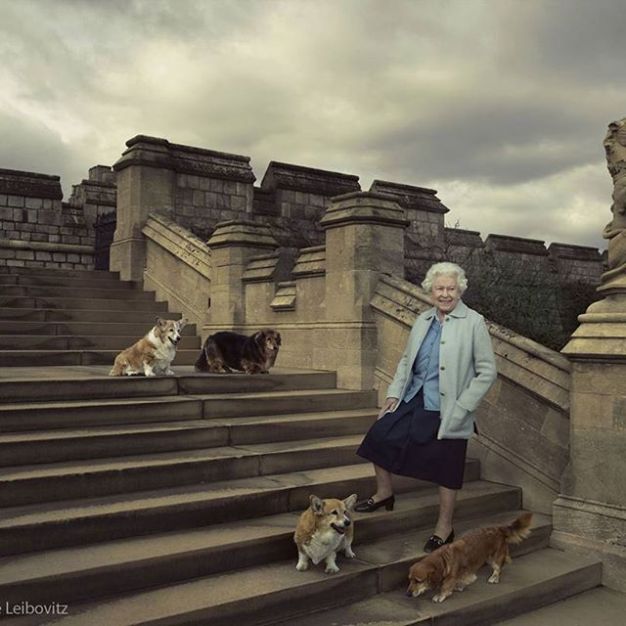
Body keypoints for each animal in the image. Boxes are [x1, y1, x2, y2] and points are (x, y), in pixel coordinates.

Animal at [404, 510, 532, 604]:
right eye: (410, 580)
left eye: (418, 581)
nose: (407, 594)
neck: (443, 559)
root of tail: (499, 529)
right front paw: (460, 585)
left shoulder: (451, 576)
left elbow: (445, 586)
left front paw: (440, 595)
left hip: (494, 558)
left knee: (498, 568)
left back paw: (494, 577)